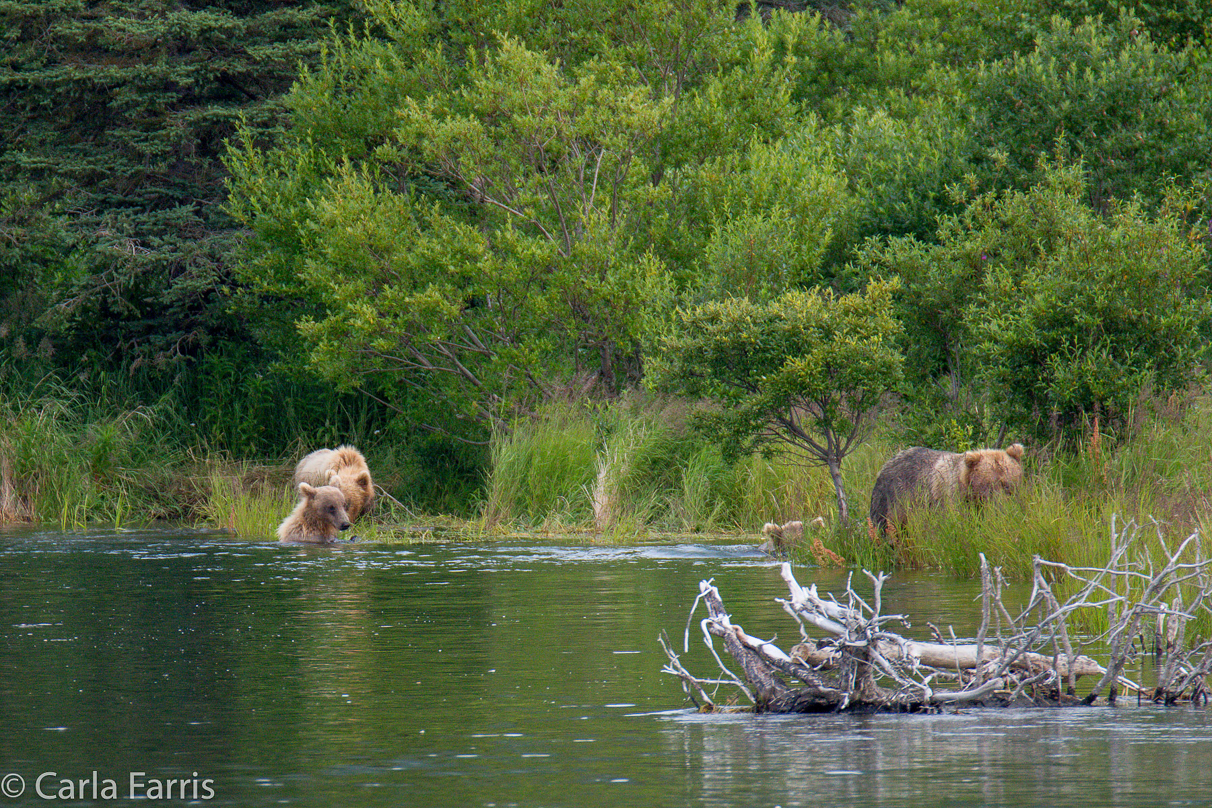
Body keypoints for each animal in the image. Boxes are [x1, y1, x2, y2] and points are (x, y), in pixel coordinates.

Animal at [867, 443, 1027, 537]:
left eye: (1007, 486)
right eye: (990, 487)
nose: (1001, 507)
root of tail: (886, 465)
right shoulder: (949, 499)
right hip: (891, 500)